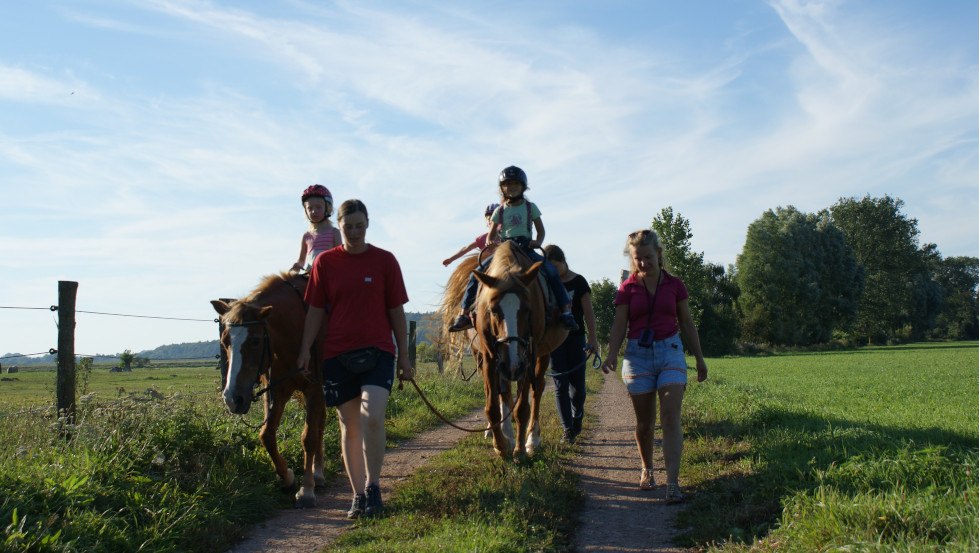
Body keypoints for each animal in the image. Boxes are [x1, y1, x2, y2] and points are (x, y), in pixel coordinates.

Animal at [210, 274, 326, 506]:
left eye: (255, 340)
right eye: (225, 341)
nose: (232, 398)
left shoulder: (314, 388)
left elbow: (308, 437)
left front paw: (306, 489)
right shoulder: (277, 391)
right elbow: (267, 435)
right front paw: (287, 477)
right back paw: (318, 473)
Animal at [438, 240, 568, 458]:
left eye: (528, 309)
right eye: (493, 310)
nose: (513, 364)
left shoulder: (526, 359)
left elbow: (522, 408)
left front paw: (520, 449)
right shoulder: (490, 357)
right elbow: (492, 405)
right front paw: (501, 444)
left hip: (538, 356)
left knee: (537, 389)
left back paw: (532, 439)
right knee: (504, 390)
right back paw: (503, 432)